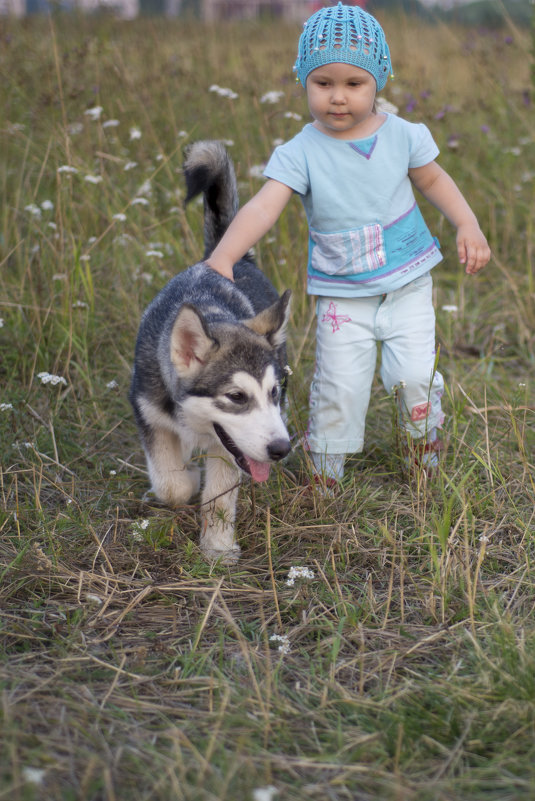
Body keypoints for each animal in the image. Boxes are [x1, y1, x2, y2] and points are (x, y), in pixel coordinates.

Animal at [129, 139, 292, 564]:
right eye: (236, 396)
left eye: (275, 393)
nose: (282, 449)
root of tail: (225, 253)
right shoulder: (149, 414)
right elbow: (172, 485)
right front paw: (185, 479)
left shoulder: (230, 447)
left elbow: (218, 499)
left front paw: (217, 549)